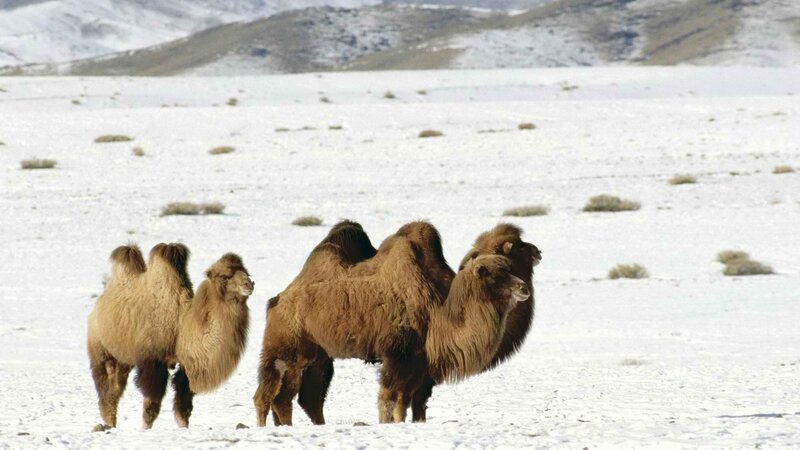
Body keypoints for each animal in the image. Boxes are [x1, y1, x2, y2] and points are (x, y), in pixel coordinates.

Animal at [87, 243, 253, 430]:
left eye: (247, 273)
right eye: (224, 276)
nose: (249, 284)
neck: (181, 326)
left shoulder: (187, 364)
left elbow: (184, 401)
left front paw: (183, 426)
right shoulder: (152, 360)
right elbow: (152, 402)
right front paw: (145, 428)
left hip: (124, 358)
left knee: (116, 386)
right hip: (100, 349)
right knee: (106, 386)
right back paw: (108, 423)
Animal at [253, 221, 530, 425]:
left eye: (509, 267)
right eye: (495, 273)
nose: (523, 287)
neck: (437, 312)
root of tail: (278, 300)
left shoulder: (418, 361)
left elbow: (407, 402)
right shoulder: (397, 353)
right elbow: (388, 399)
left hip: (315, 355)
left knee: (298, 397)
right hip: (284, 346)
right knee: (266, 395)